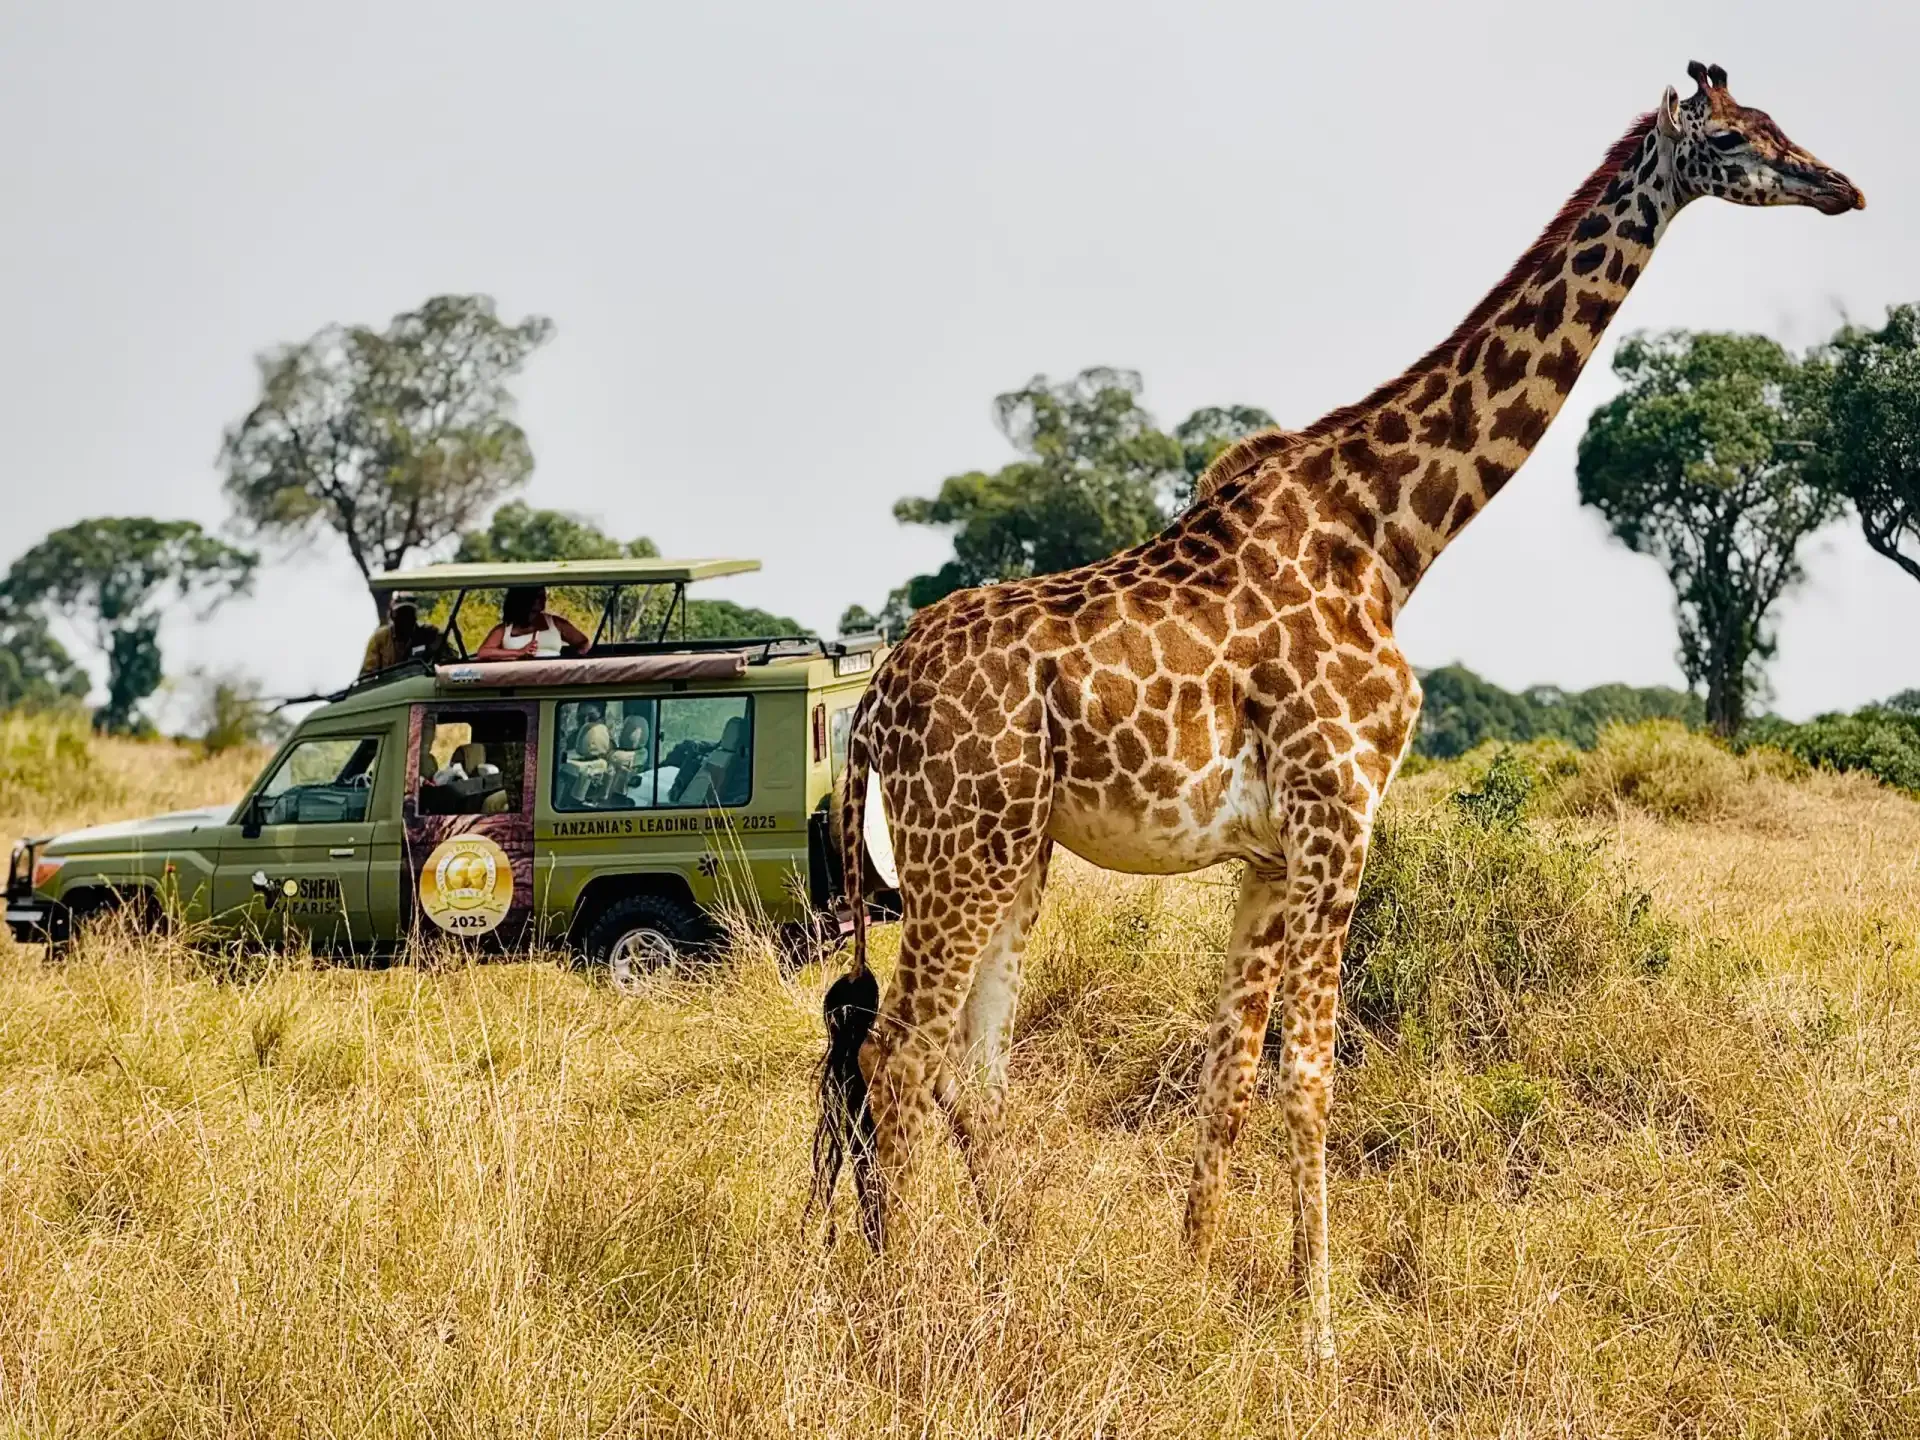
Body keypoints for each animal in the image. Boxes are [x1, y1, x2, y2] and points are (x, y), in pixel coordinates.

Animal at [812, 62, 1861, 1363]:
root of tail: (871, 710)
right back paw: (907, 1309)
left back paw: (1009, 1284)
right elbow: (1310, 1074)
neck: (1392, 533)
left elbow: (1232, 1076)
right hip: (963, 846)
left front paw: (1195, 1288)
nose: (1841, 186)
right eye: (1731, 137)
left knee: (970, 1068)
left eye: (1776, 123)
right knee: (900, 1056)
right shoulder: (1340, 811)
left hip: (1014, 853)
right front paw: (1318, 1331)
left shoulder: (1270, 852)